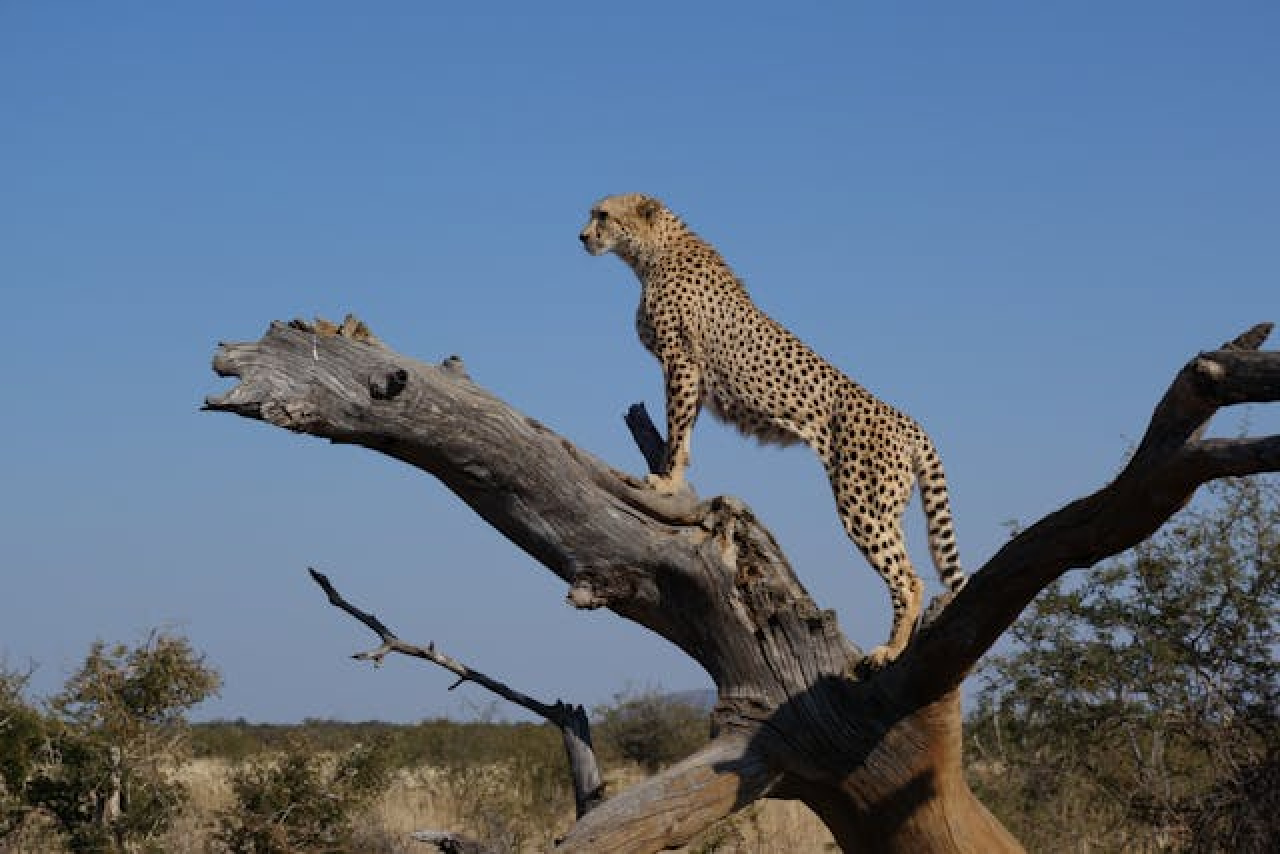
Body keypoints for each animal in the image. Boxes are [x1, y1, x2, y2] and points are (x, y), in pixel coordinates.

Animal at [576, 193, 962, 665]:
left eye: (603, 215)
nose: (582, 236)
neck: (652, 252)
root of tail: (908, 420)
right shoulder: (694, 375)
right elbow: (684, 433)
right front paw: (673, 474)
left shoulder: (680, 361)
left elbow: (678, 428)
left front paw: (666, 482)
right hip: (888, 506)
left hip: (862, 502)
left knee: (909, 577)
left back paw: (891, 649)